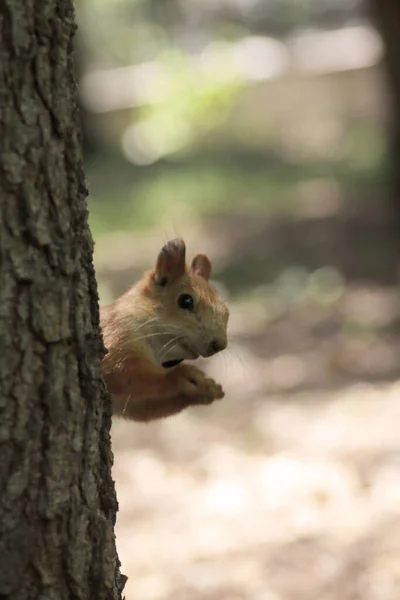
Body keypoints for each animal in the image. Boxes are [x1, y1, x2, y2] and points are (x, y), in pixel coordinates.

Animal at [99, 238, 228, 422]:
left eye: (226, 312)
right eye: (186, 300)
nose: (220, 345)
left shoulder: (125, 402)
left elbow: (140, 408)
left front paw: (205, 389)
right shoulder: (116, 338)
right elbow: (124, 376)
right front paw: (180, 375)